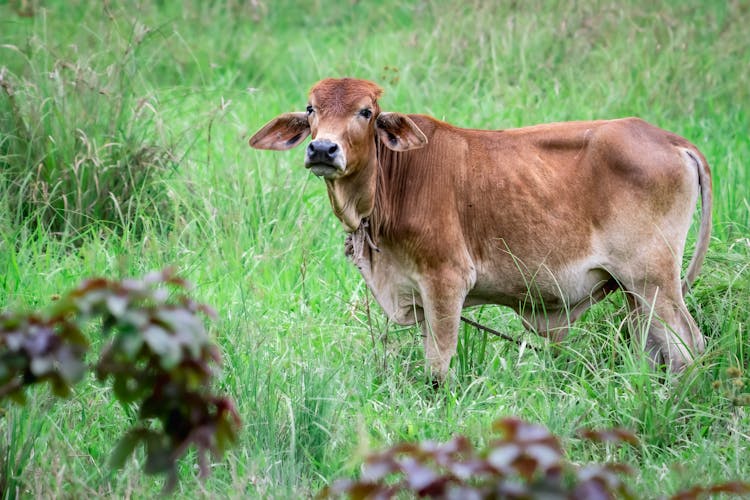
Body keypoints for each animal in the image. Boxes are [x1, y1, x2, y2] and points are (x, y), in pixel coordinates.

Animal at [250, 78, 712, 380]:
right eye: (311, 109)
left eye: (366, 111)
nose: (322, 148)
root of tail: (671, 140)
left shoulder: (446, 280)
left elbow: (438, 366)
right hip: (637, 292)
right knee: (654, 349)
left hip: (654, 280)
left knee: (688, 349)